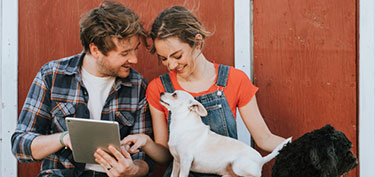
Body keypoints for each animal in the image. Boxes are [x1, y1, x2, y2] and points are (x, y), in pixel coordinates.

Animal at [160, 90, 292, 177]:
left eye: (174, 95)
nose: (161, 92)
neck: (180, 123)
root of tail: (261, 160)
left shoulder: (185, 161)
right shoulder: (177, 162)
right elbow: (173, 175)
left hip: (238, 165)